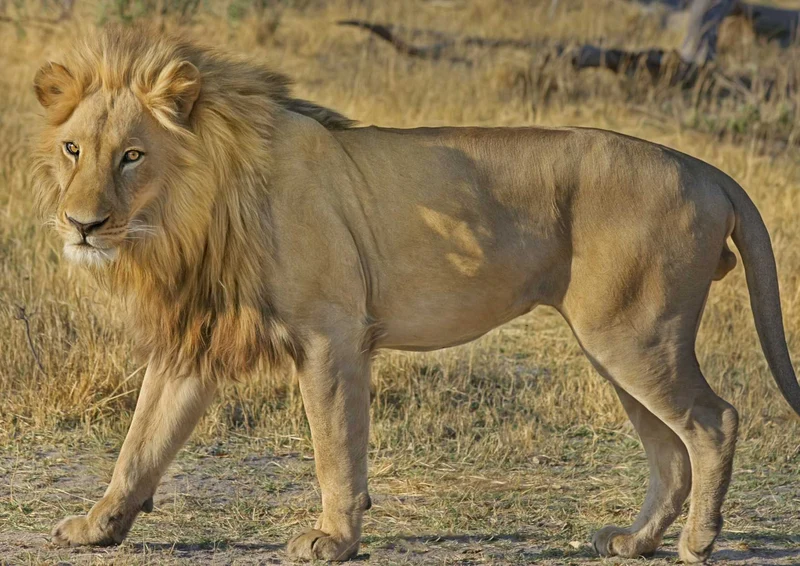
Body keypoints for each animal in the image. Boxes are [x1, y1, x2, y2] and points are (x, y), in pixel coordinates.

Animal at [32, 26, 800, 563]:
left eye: (132, 155)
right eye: (74, 149)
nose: (82, 224)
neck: (190, 215)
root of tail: (705, 168)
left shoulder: (331, 333)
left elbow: (336, 447)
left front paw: (333, 540)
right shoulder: (194, 342)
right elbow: (141, 444)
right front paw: (97, 527)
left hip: (634, 336)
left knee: (715, 422)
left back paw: (698, 543)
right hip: (616, 345)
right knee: (670, 451)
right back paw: (635, 543)